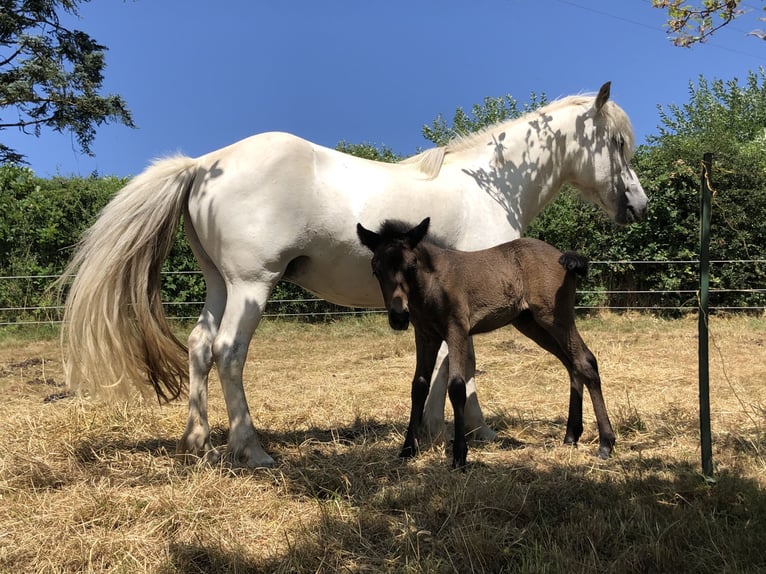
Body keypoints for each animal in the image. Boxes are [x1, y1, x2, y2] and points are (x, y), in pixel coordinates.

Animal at [360, 218, 616, 470]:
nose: (399, 316)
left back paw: (605, 443)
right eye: (376, 270)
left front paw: (460, 455)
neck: (432, 284)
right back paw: (571, 436)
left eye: (411, 266)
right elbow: (419, 386)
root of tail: (562, 256)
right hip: (532, 324)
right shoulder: (425, 336)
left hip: (556, 317)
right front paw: (407, 450)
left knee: (585, 361)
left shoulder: (457, 330)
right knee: (572, 364)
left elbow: (457, 386)